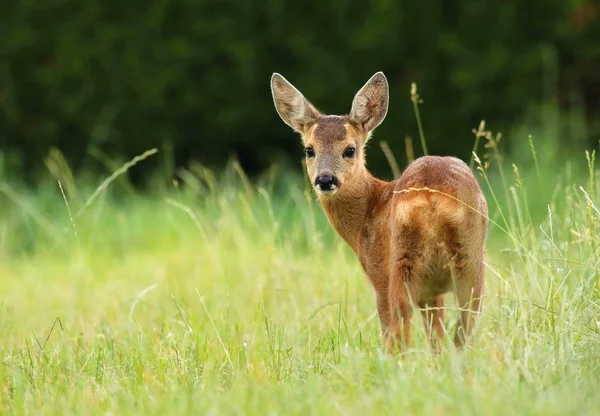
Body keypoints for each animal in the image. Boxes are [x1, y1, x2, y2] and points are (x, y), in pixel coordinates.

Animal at [270, 72, 488, 354]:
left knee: (399, 326)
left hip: (400, 264)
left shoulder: (378, 271)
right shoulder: (432, 292)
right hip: (469, 260)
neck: (370, 209)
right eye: (309, 150)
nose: (325, 179)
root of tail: (430, 198)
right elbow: (436, 337)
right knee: (463, 329)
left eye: (349, 150)